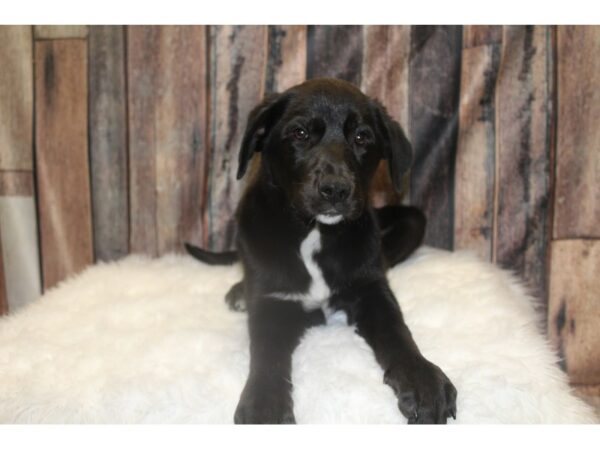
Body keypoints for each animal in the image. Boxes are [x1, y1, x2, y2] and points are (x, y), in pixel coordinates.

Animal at [186, 79, 454, 424]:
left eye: (361, 137)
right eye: (299, 133)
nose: (336, 189)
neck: (315, 232)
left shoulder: (372, 289)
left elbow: (397, 331)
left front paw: (422, 380)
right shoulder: (272, 301)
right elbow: (266, 353)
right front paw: (264, 405)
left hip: (411, 223)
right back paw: (238, 292)